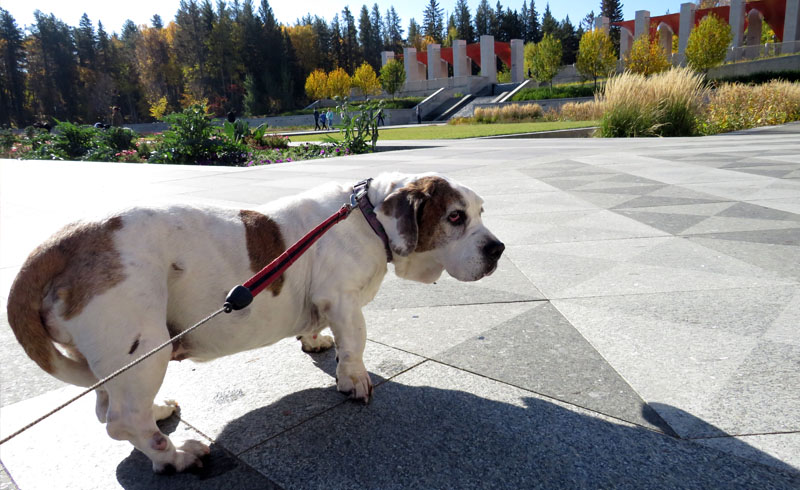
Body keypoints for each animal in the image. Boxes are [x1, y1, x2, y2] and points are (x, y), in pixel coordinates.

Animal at [6, 171, 504, 470]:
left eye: (482, 212)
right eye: (454, 217)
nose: (498, 248)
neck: (368, 215)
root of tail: (58, 244)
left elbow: (320, 328)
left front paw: (314, 339)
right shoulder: (344, 300)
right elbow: (356, 343)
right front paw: (355, 380)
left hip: (116, 359)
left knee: (106, 405)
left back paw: (159, 413)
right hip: (144, 345)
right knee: (121, 420)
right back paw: (176, 456)